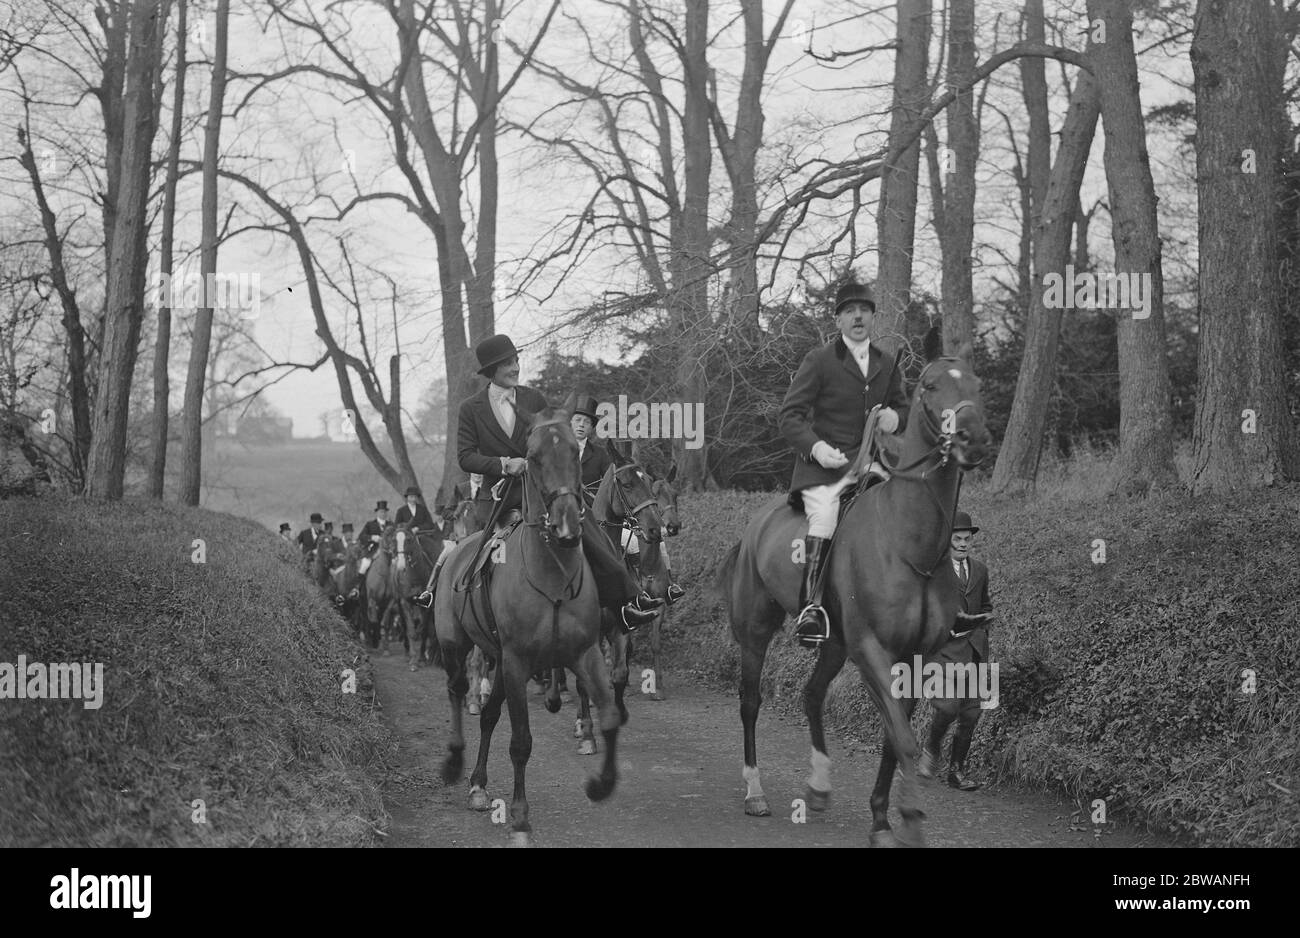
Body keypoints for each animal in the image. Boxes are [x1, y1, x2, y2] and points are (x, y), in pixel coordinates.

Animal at [434, 405, 621, 841]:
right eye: (533, 458)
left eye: (575, 453)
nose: (568, 528)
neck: (551, 572)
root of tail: (456, 550)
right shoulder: (518, 662)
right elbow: (521, 741)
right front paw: (519, 816)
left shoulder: (585, 653)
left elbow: (608, 718)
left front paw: (600, 784)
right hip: (456, 645)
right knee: (457, 691)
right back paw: (455, 762)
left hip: (501, 660)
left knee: (489, 716)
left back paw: (478, 786)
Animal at [717, 331, 987, 847]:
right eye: (929, 386)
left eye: (976, 383)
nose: (972, 440)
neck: (910, 541)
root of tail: (756, 522)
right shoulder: (872, 650)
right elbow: (901, 737)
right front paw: (909, 822)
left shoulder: (912, 655)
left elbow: (896, 735)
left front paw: (883, 817)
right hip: (757, 631)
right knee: (750, 703)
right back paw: (754, 792)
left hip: (835, 642)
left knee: (811, 693)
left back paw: (820, 785)